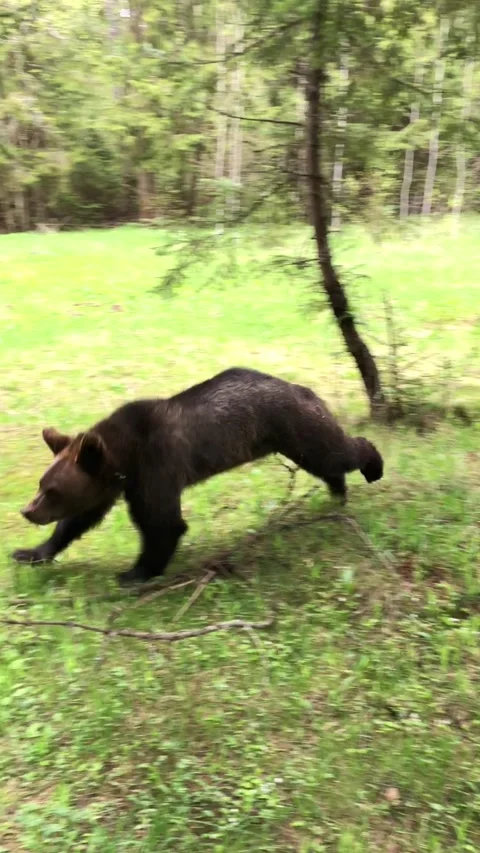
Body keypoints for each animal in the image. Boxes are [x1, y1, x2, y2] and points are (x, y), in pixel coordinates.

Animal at [13, 367, 383, 585]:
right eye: (41, 484)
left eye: (51, 489)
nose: (27, 510)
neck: (123, 455)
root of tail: (301, 387)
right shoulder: (114, 484)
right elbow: (79, 521)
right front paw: (30, 552)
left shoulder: (154, 467)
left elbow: (162, 524)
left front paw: (134, 573)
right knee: (327, 465)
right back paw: (338, 491)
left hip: (296, 425)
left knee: (336, 452)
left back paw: (372, 465)